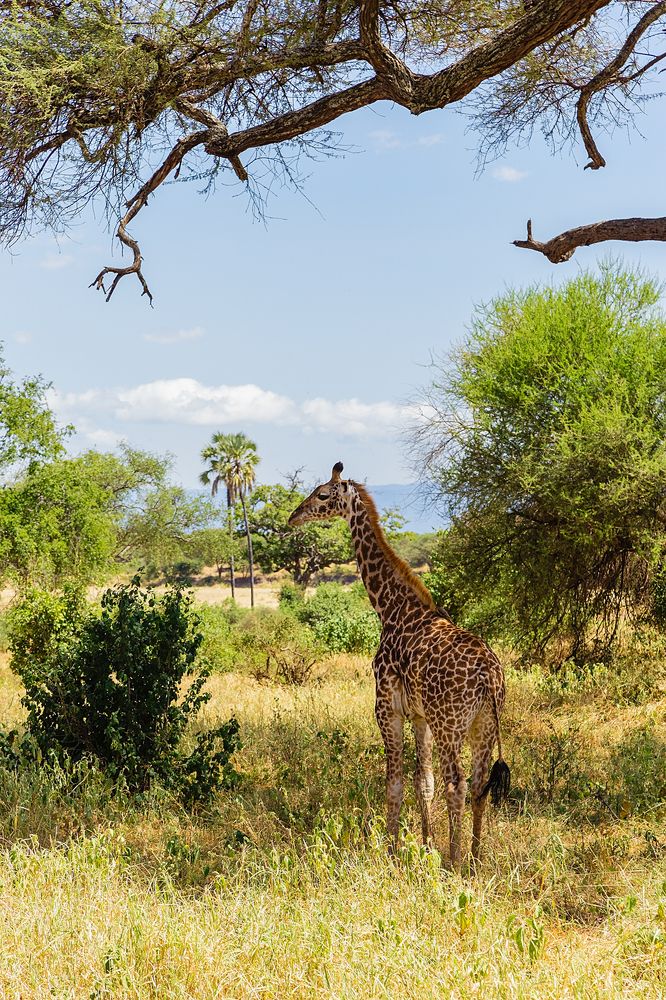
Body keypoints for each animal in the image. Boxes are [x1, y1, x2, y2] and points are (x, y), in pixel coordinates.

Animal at [288, 462, 510, 871]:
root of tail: (488, 675)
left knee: (456, 783)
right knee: (477, 784)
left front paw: (392, 854)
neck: (390, 608)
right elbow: (424, 783)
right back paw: (474, 859)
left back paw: (455, 862)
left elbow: (395, 783)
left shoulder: (386, 708)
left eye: (322, 494)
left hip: (450, 724)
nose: (294, 516)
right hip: (484, 725)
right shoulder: (419, 716)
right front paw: (424, 846)